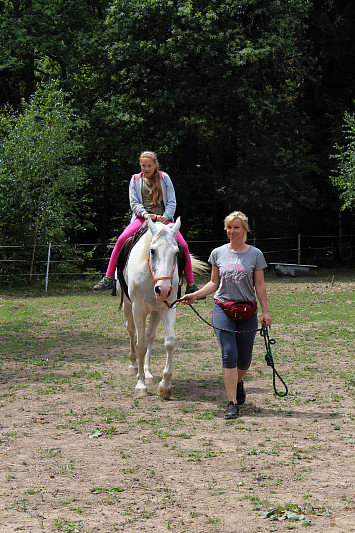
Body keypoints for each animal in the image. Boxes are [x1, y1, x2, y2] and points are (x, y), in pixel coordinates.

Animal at [124, 214, 204, 396]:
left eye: (176, 253)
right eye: (152, 251)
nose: (163, 289)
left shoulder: (168, 307)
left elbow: (169, 342)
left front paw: (165, 385)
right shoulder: (137, 308)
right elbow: (140, 345)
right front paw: (140, 385)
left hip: (156, 311)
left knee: (150, 336)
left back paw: (148, 373)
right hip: (127, 304)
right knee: (131, 331)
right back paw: (133, 366)